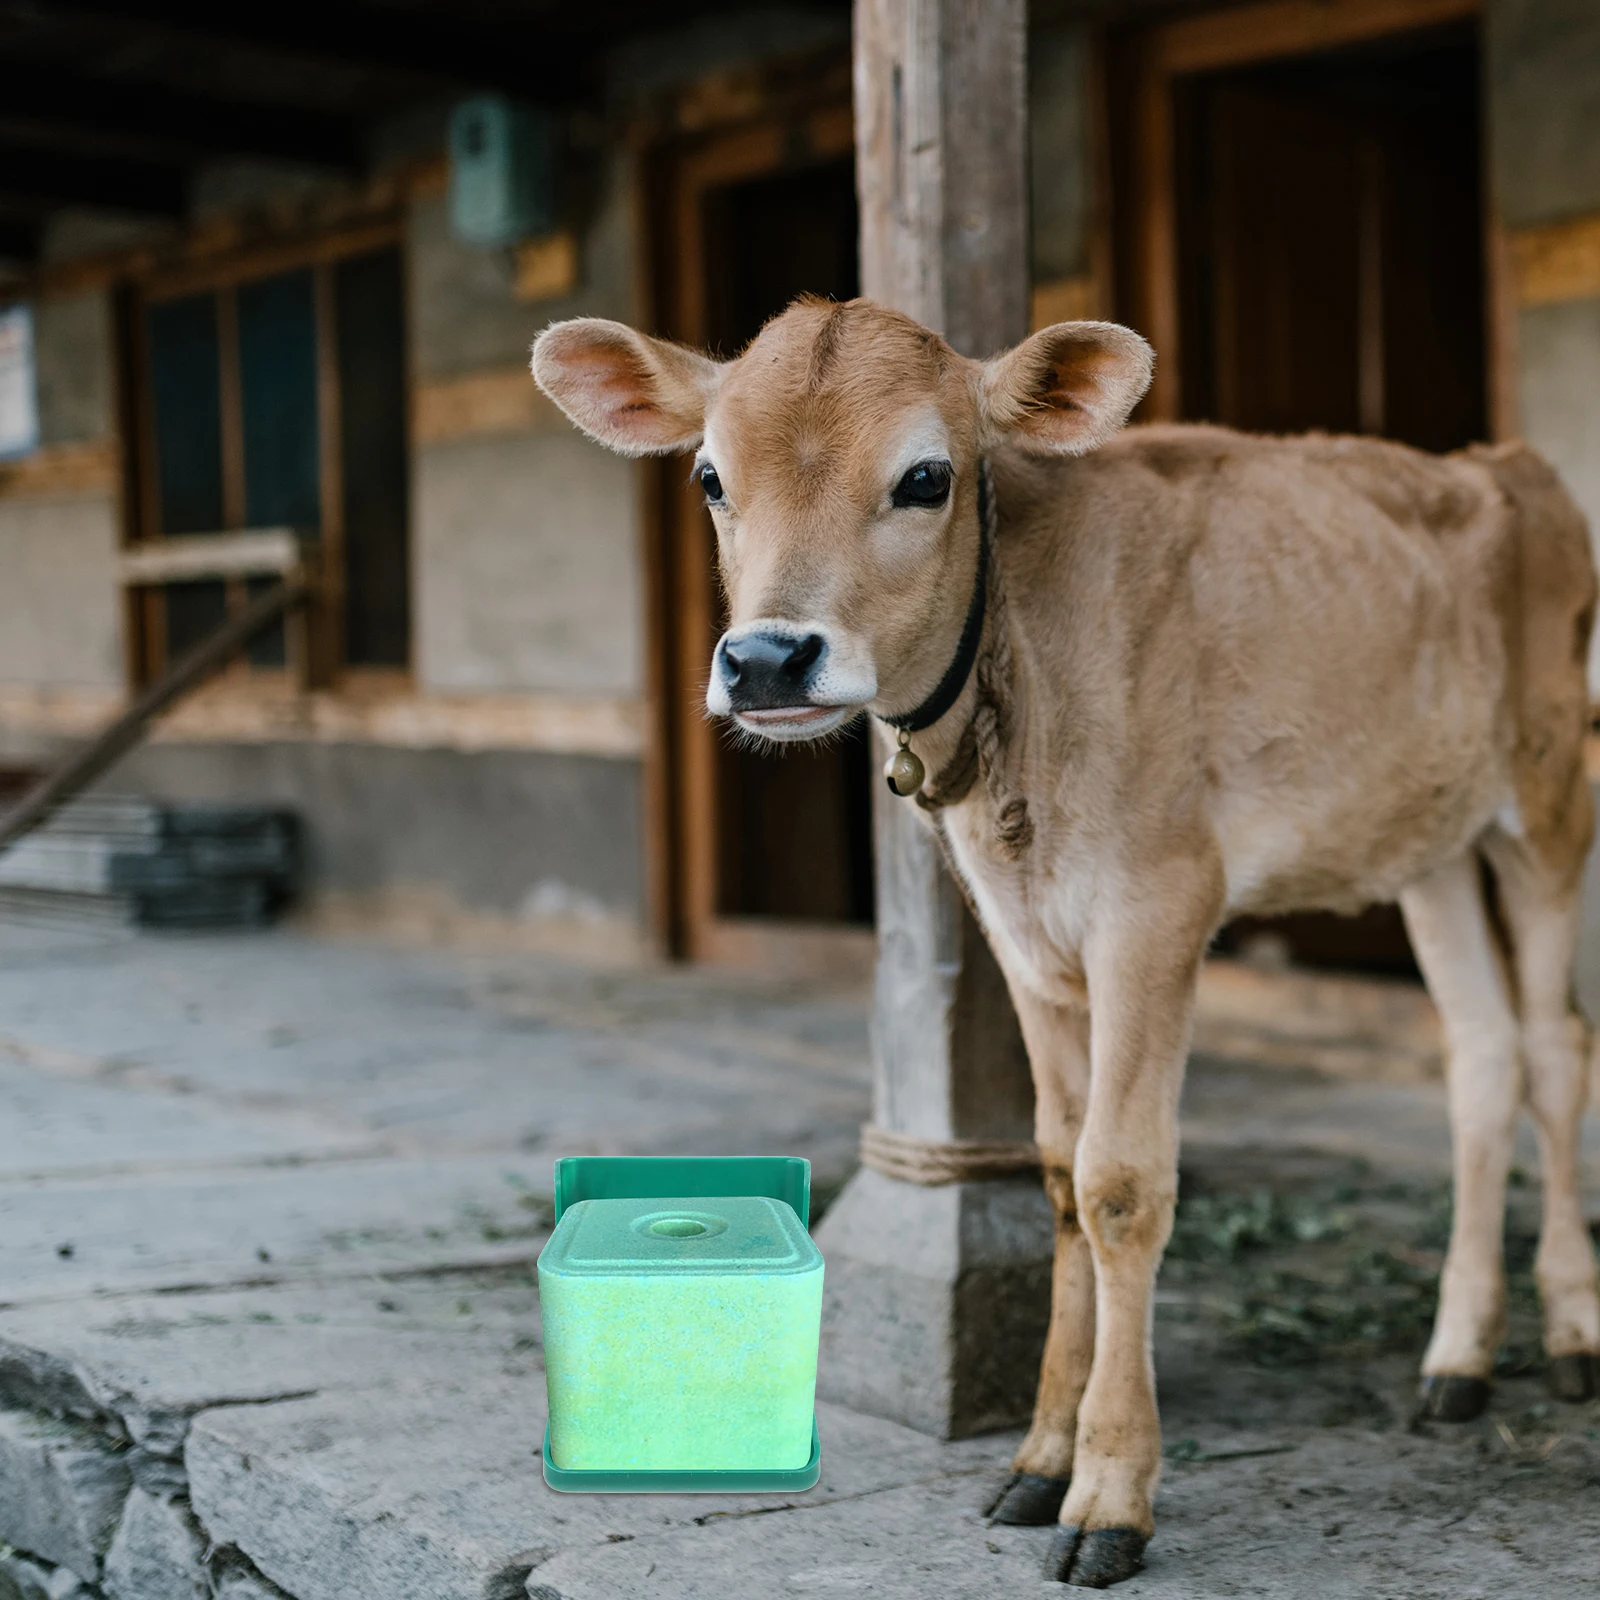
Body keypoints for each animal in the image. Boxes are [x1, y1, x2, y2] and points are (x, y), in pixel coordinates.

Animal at [531, 297, 1599, 1587]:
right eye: (708, 477)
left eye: (926, 477)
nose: (767, 659)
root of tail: (1499, 462)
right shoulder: (1023, 934)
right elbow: (1054, 1172)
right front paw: (1038, 1457)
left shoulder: (1156, 907)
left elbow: (1120, 1182)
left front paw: (1109, 1495)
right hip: (1427, 841)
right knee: (1481, 1053)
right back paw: (1456, 1358)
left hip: (1547, 801)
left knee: (1555, 1046)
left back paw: (1572, 1330)